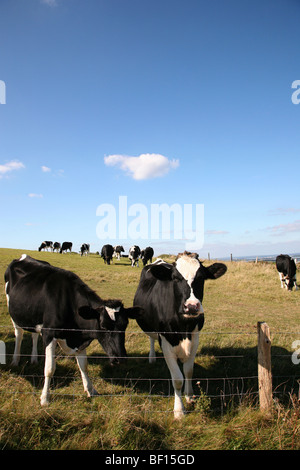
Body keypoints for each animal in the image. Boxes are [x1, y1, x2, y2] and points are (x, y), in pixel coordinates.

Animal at [4, 255, 141, 406]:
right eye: (104, 326)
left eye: (125, 325)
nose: (120, 358)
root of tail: (24, 257)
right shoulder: (49, 333)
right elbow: (50, 369)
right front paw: (45, 398)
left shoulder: (79, 340)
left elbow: (84, 365)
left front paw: (91, 390)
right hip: (14, 314)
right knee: (19, 334)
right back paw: (15, 360)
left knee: (34, 335)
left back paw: (34, 359)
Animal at [132, 252, 226, 420]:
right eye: (175, 278)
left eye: (201, 277)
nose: (192, 306)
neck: (184, 328)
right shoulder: (166, 342)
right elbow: (177, 379)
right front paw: (179, 410)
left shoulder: (195, 339)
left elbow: (188, 371)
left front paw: (189, 396)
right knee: (151, 338)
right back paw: (152, 357)